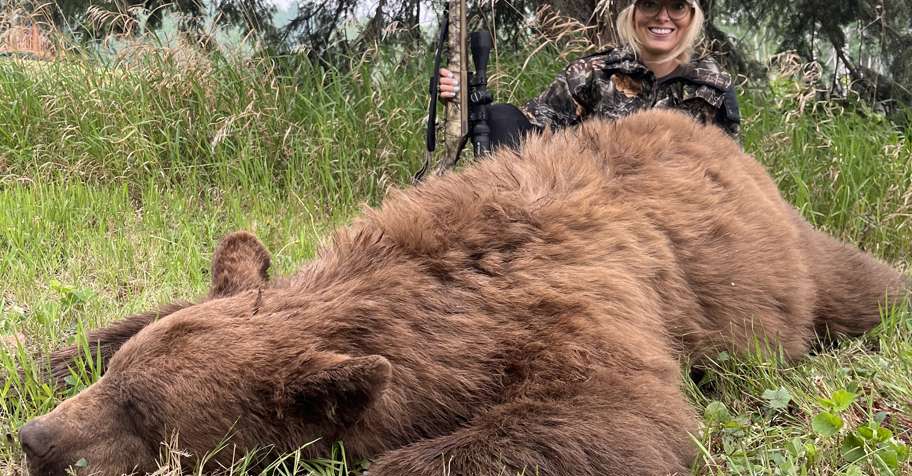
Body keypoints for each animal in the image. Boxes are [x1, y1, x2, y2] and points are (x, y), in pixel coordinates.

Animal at [19, 110, 908, 476]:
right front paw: (46, 355)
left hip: (793, 260)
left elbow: (622, 419)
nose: (35, 441)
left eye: (146, 417)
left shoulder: (575, 308)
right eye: (116, 382)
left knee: (865, 289)